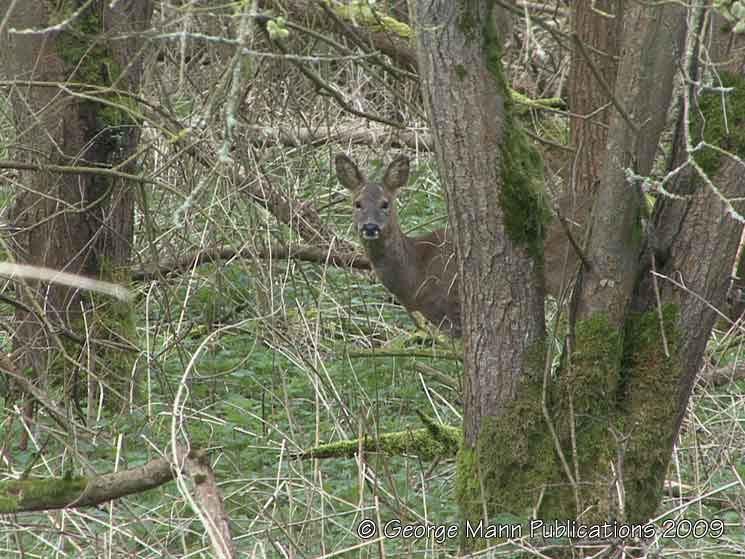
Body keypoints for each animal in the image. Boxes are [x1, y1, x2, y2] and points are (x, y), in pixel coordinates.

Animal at [336, 153, 583, 337]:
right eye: (357, 204)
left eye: (385, 203)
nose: (370, 227)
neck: (415, 274)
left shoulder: (452, 311)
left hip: (563, 273)